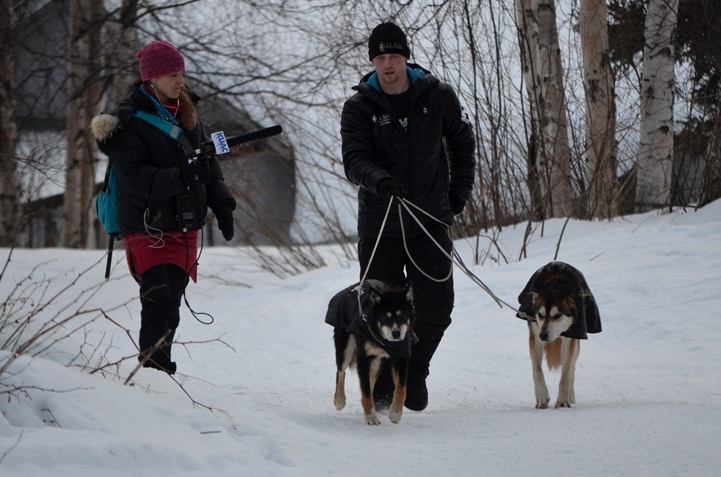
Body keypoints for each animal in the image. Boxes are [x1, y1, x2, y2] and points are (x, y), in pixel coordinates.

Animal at [325, 280, 416, 425]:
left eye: (402, 316)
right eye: (384, 317)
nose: (396, 333)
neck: (383, 339)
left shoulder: (401, 356)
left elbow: (401, 387)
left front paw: (395, 412)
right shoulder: (364, 358)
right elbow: (365, 390)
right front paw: (370, 417)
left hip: (376, 364)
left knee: (370, 383)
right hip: (346, 348)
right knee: (341, 371)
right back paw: (339, 400)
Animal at [516, 261, 601, 409]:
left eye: (557, 315)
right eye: (540, 315)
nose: (543, 335)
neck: (555, 283)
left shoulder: (570, 338)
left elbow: (566, 373)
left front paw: (562, 401)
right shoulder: (535, 335)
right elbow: (537, 370)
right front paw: (542, 397)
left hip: (576, 345)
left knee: (572, 369)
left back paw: (570, 395)